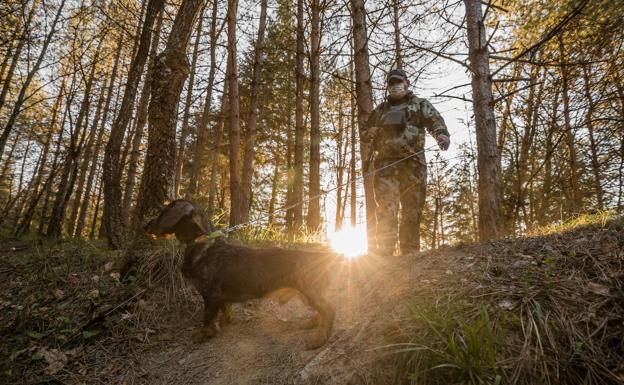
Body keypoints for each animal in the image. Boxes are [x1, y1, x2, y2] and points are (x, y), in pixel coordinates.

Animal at [144, 200, 338, 350]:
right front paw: (225, 320)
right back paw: (312, 323)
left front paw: (205, 333)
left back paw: (318, 338)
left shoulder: (210, 295)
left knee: (329, 309)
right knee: (322, 309)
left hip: (309, 290)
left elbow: (207, 317)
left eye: (164, 211)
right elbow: (224, 309)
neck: (202, 244)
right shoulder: (219, 297)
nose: (145, 226)